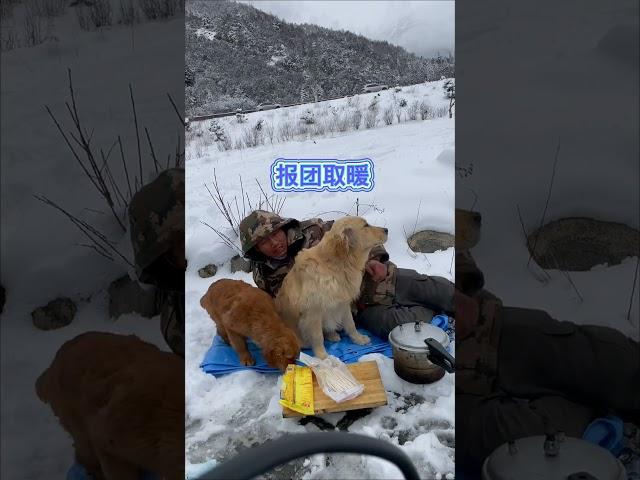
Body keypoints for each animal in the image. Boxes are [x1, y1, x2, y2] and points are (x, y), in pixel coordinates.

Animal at [274, 216, 384, 358]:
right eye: (365, 226)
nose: (387, 230)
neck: (335, 266)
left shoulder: (343, 304)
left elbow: (351, 325)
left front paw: (358, 339)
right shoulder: (313, 312)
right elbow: (318, 337)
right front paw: (323, 357)